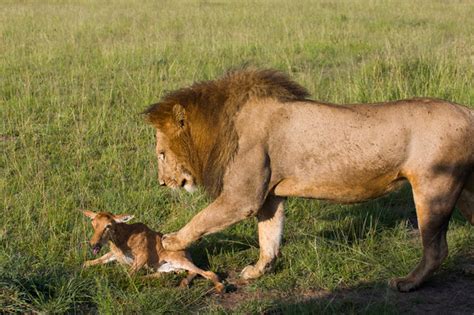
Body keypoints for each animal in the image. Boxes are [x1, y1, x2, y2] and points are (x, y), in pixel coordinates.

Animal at [81, 210, 224, 294]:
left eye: (108, 225)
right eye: (93, 223)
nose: (94, 244)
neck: (121, 240)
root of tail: (187, 253)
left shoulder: (143, 255)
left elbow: (127, 276)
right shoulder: (115, 255)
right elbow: (91, 262)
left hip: (177, 260)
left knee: (205, 272)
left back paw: (220, 287)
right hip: (166, 267)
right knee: (170, 273)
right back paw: (178, 283)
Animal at [144, 69, 474, 294]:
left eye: (161, 154)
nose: (162, 184)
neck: (220, 124)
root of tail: (467, 111)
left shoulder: (243, 197)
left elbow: (202, 219)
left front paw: (169, 240)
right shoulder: (270, 196)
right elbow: (269, 238)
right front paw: (257, 271)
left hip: (433, 188)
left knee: (436, 249)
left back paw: (407, 283)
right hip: (464, 191)